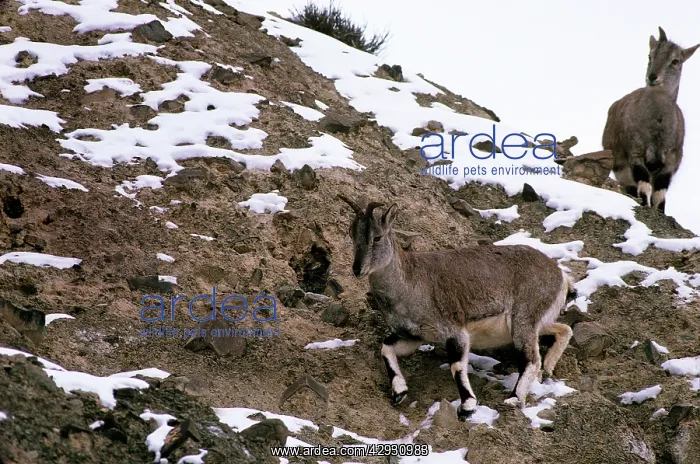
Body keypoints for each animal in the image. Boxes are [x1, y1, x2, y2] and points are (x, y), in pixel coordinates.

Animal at [338, 195, 574, 420]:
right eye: (351, 235)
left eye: (377, 237)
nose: (357, 269)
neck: (410, 283)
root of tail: (560, 275)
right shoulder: (415, 335)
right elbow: (386, 347)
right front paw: (399, 391)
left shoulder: (454, 330)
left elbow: (457, 366)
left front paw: (467, 406)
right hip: (535, 321)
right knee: (563, 329)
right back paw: (548, 368)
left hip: (523, 318)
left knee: (531, 359)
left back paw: (515, 398)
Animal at [602, 26, 699, 213]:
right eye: (650, 56)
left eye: (675, 61)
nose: (653, 77)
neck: (656, 129)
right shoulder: (636, 152)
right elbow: (644, 186)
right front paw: (645, 206)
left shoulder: (669, 161)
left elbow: (660, 194)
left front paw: (660, 212)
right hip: (621, 167)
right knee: (631, 187)